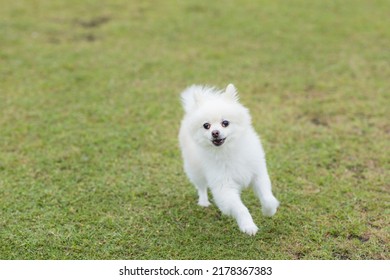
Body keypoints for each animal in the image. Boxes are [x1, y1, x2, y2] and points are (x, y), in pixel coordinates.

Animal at [178, 83, 278, 236]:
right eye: (206, 125)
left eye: (225, 123)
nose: (215, 133)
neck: (228, 150)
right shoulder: (224, 187)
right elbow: (241, 208)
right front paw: (248, 225)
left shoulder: (258, 174)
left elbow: (267, 197)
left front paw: (269, 210)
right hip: (195, 170)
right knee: (201, 186)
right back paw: (203, 202)